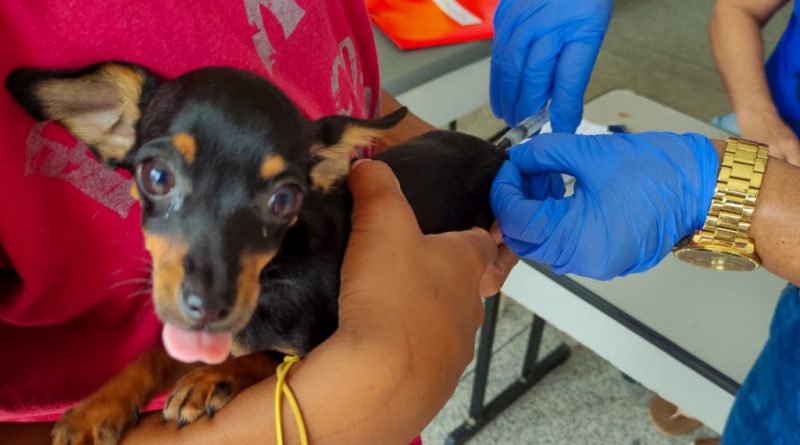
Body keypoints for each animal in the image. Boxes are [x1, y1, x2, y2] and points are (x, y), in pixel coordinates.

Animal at [6, 63, 504, 444]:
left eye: (284, 199)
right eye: (157, 176)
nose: (210, 304)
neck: (272, 276)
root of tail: (494, 147)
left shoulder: (314, 343)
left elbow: (265, 356)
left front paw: (208, 379)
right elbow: (153, 355)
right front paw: (95, 409)